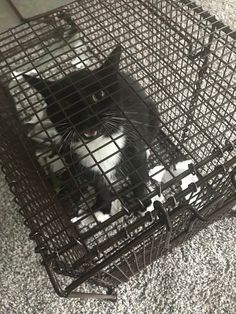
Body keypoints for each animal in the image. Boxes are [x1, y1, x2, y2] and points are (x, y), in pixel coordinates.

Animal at [23, 45, 160, 220]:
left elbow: (139, 176)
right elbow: (99, 185)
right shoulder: (85, 163)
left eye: (98, 95)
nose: (86, 116)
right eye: (64, 103)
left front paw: (143, 202)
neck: (99, 144)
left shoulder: (134, 146)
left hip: (153, 114)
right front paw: (103, 208)